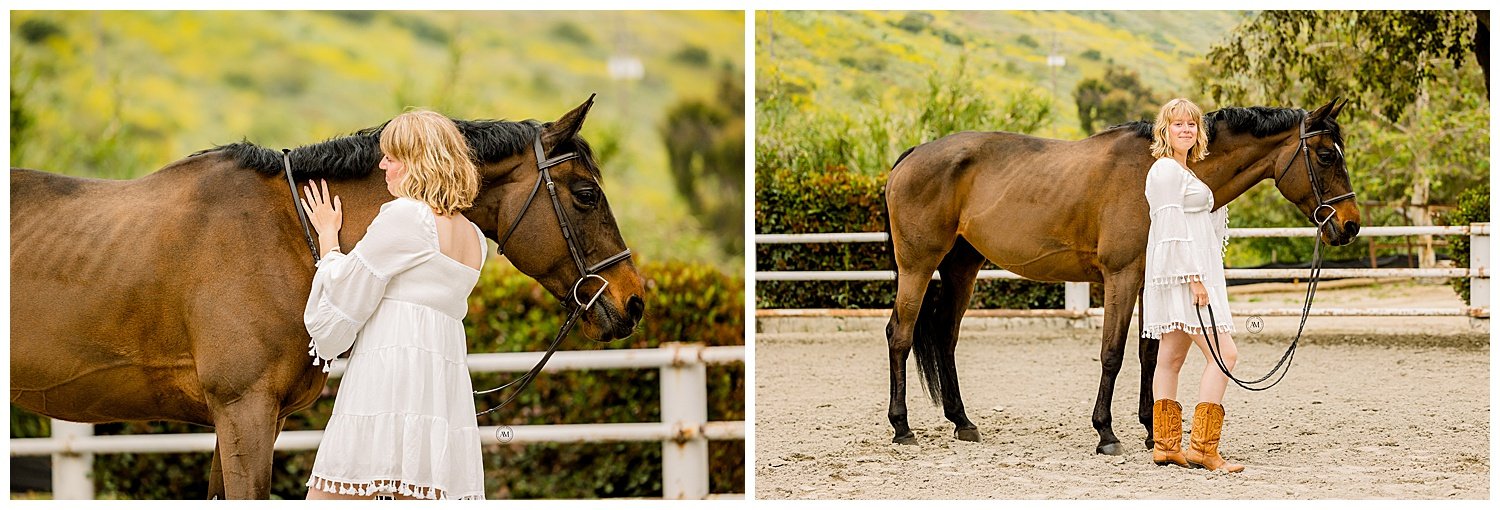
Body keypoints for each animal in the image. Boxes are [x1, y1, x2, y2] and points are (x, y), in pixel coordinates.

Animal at [876, 98, 1362, 453]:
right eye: (1324, 156)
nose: (1351, 225)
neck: (1155, 174)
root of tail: (913, 155)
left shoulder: (1150, 279)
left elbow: (1149, 353)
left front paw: (1151, 429)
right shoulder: (1121, 277)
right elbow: (1112, 353)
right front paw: (1106, 433)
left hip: (962, 267)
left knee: (945, 337)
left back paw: (962, 422)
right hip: (918, 266)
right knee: (899, 334)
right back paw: (902, 428)